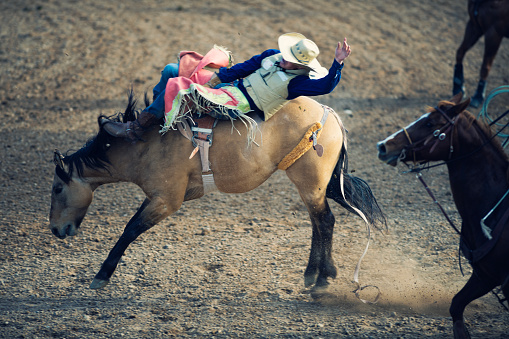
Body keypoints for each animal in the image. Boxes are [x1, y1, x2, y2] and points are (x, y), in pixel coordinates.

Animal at [49, 92, 384, 292]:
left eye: (57, 187)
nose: (55, 229)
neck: (143, 145)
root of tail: (329, 113)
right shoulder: (158, 196)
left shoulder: (166, 200)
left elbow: (130, 229)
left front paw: (101, 275)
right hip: (310, 184)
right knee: (318, 223)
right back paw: (314, 274)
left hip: (310, 182)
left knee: (325, 221)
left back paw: (322, 279)